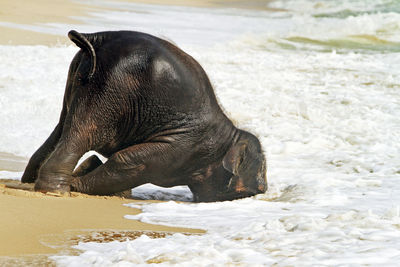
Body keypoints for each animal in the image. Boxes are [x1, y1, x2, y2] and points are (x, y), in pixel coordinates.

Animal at [20, 30, 268, 202]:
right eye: (259, 184)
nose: (264, 189)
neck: (230, 134)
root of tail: (98, 38)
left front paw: (87, 172)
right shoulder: (182, 146)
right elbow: (131, 162)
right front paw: (77, 182)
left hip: (81, 78)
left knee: (62, 127)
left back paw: (30, 182)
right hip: (111, 88)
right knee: (84, 133)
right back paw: (57, 191)